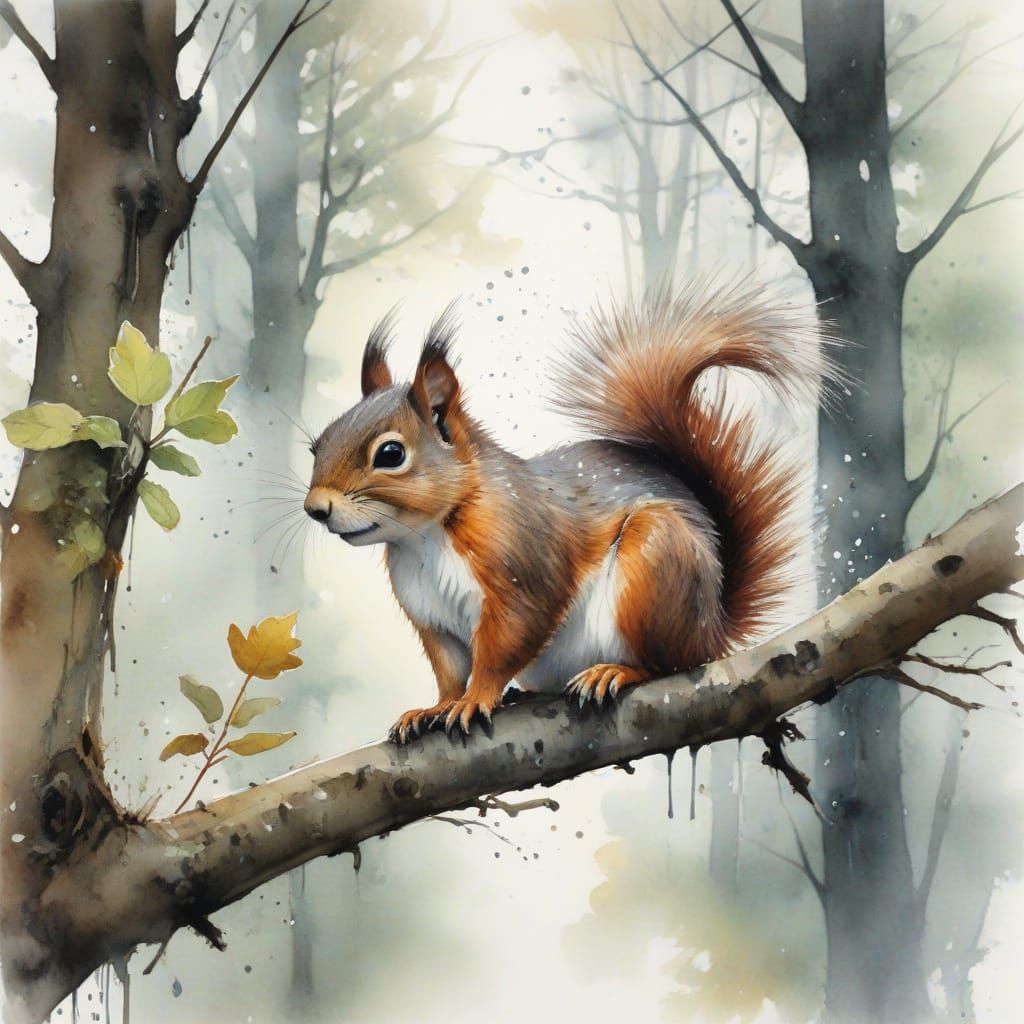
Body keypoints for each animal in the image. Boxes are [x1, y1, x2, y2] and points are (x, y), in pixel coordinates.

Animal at [304, 282, 832, 742]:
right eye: (318, 444)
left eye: (390, 454)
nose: (315, 509)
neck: (425, 536)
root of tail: (714, 629)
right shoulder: (432, 617)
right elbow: (448, 668)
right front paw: (434, 707)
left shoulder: (524, 567)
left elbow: (505, 644)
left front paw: (474, 699)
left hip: (656, 565)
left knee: (670, 663)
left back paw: (614, 672)